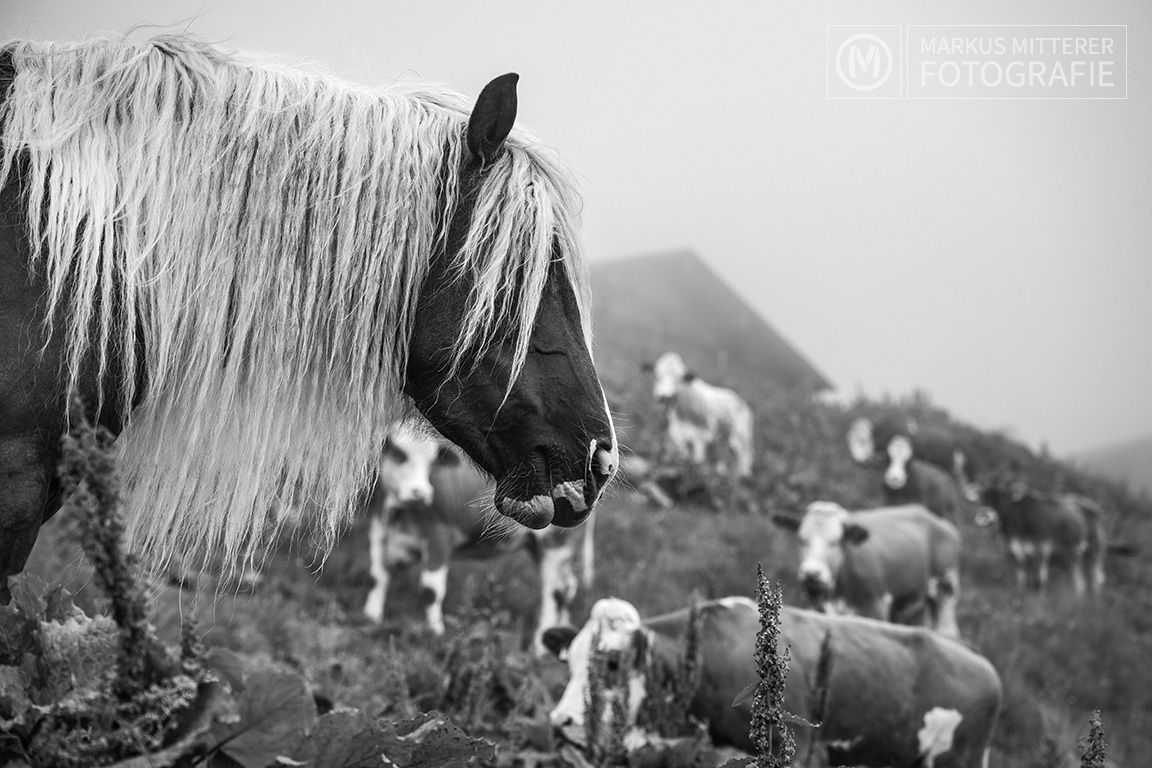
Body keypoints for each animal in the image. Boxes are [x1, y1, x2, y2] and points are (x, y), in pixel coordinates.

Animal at [361, 426, 594, 654]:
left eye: (432, 461)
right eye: (400, 455)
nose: (419, 493)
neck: (399, 515)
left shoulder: (439, 536)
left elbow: (430, 591)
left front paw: (435, 634)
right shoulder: (377, 529)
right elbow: (376, 577)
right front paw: (371, 618)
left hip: (556, 543)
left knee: (554, 592)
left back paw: (540, 647)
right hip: (537, 545)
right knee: (567, 588)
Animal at [539, 598, 999, 768]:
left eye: (612, 663)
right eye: (568, 662)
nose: (559, 722)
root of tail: (978, 657)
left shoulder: (803, 750)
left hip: (958, 759)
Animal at [774, 502, 963, 640]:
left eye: (835, 541)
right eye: (801, 539)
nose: (812, 574)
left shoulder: (876, 606)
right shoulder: (817, 607)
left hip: (946, 586)